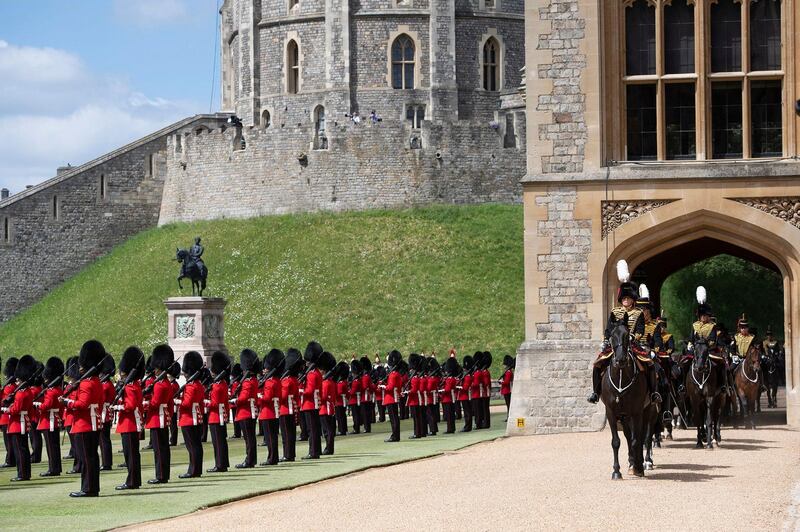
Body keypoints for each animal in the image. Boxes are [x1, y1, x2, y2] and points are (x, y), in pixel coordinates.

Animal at [596, 314, 652, 480]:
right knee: (629, 436)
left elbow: (636, 440)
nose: (620, 360)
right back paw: (632, 462)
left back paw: (640, 463)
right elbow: (616, 441)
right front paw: (616, 471)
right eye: (612, 336)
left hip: (647, 410)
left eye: (627, 335)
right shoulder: (611, 412)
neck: (621, 376)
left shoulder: (637, 412)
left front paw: (638, 468)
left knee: (642, 436)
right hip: (624, 415)